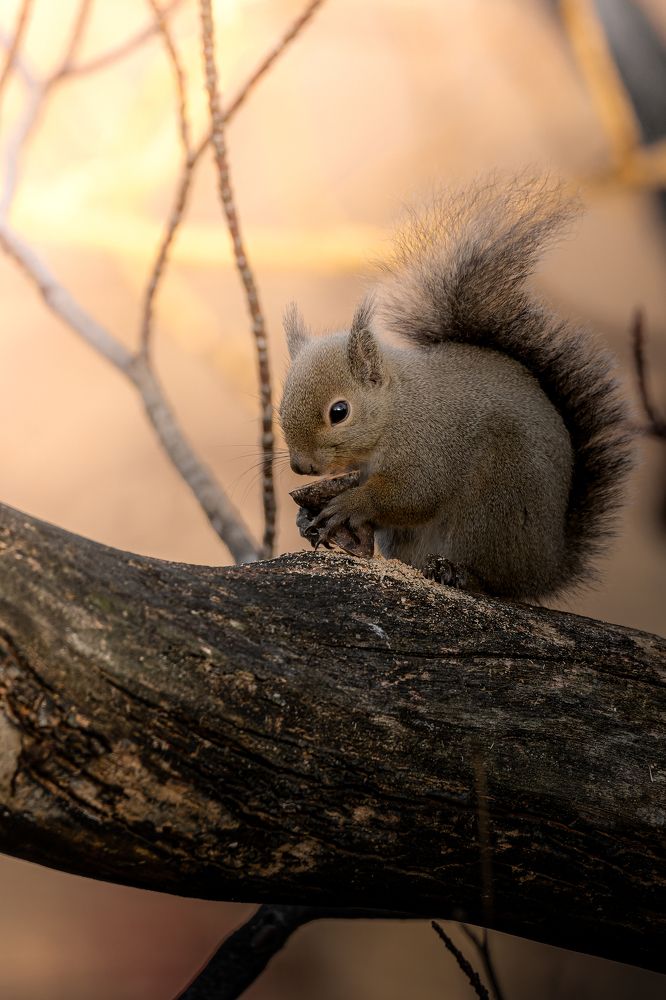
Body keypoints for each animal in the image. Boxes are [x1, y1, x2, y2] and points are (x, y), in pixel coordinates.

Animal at [279, 177, 634, 600]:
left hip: (494, 508)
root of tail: (547, 567)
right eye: (279, 407)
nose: (301, 467)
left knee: (495, 581)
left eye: (339, 412)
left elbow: (412, 494)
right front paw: (306, 515)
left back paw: (460, 574)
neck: (397, 410)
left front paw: (351, 502)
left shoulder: (430, 447)